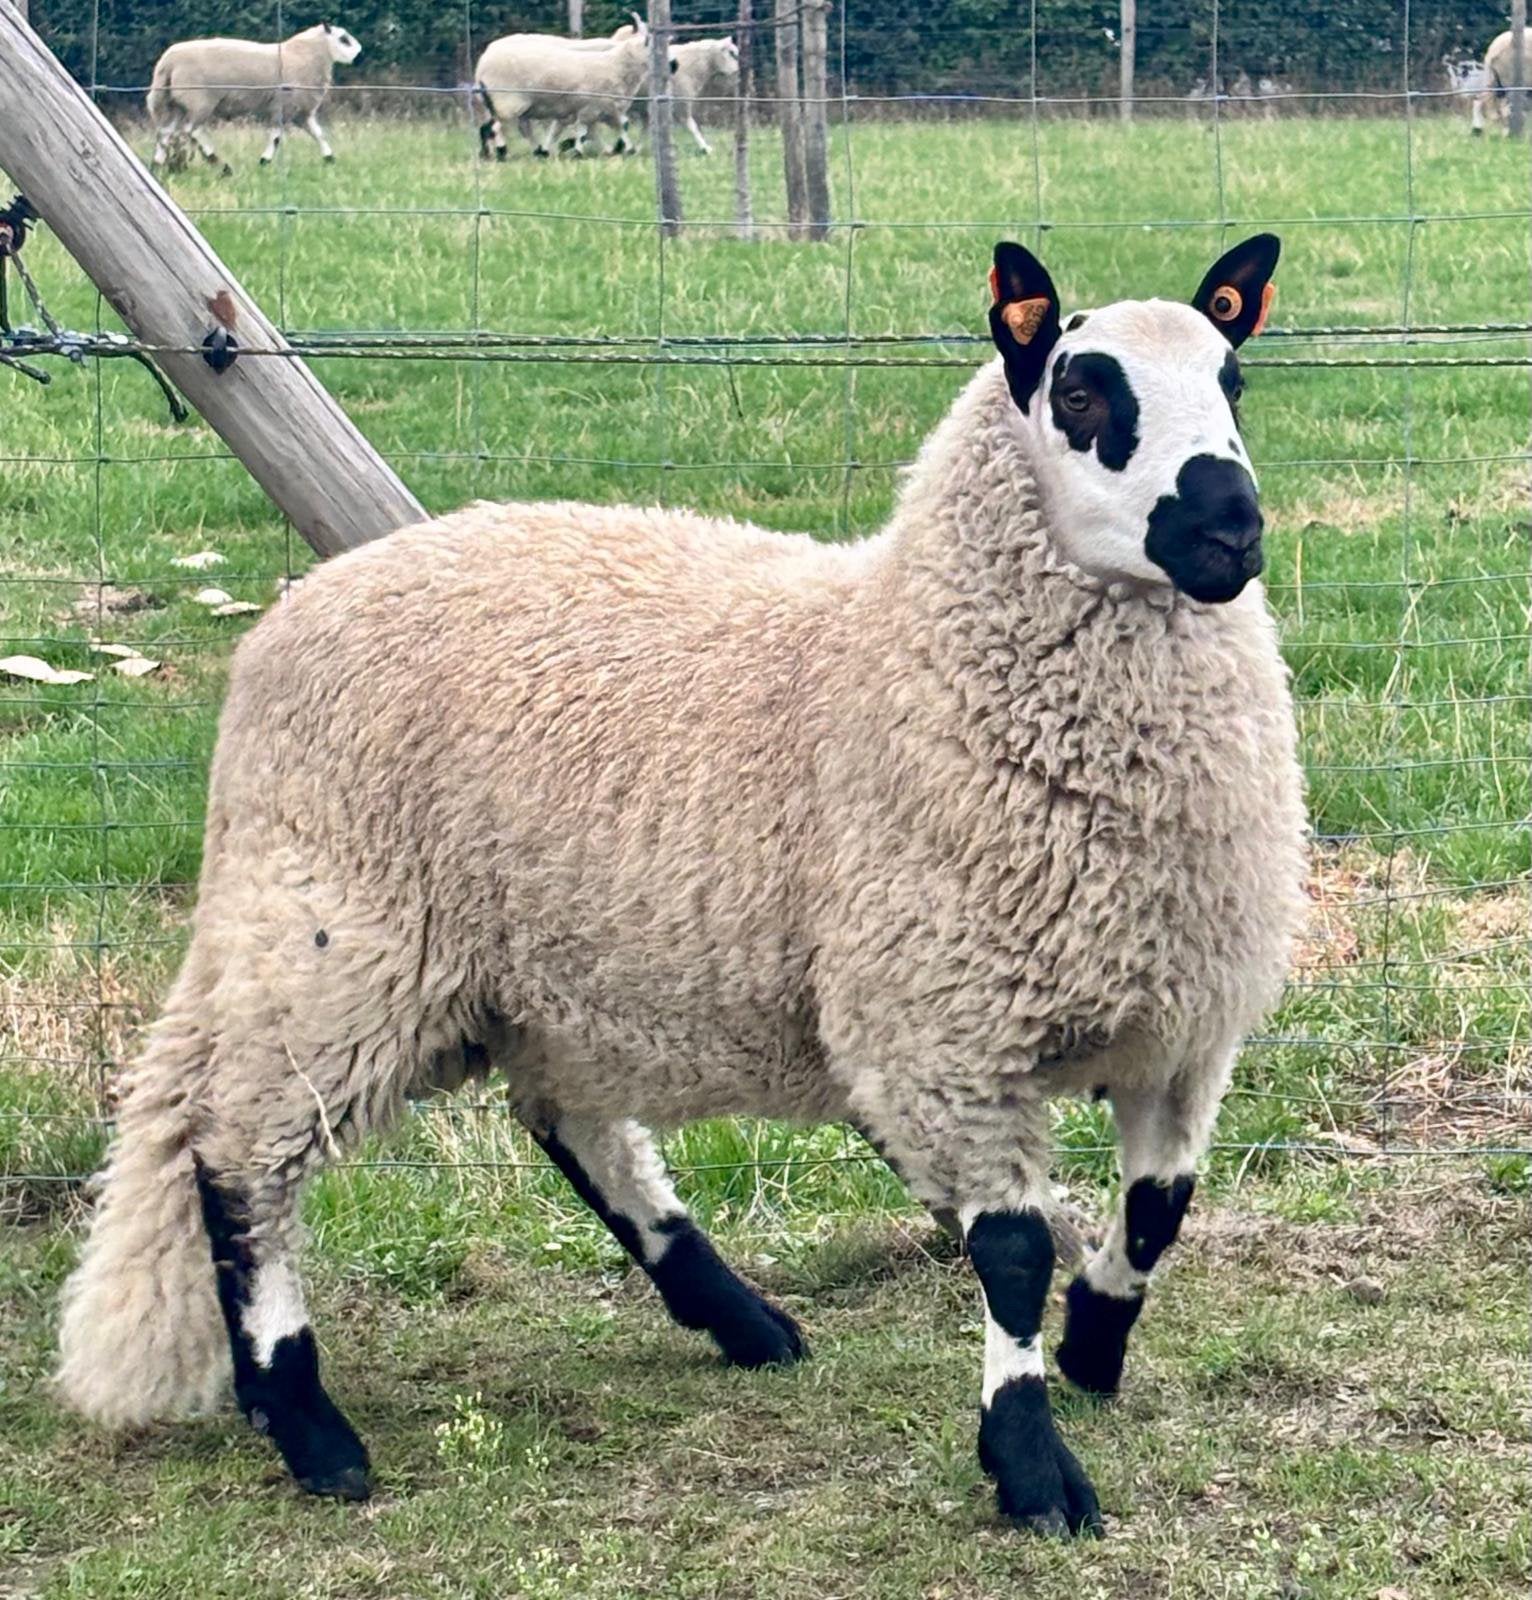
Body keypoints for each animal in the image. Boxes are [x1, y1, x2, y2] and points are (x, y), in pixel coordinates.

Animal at [57, 235, 1307, 1536]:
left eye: (1232, 379)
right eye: (1080, 394)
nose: (1230, 527)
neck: (894, 639)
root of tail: (287, 621)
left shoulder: (1180, 1025)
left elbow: (1158, 1209)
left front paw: (1091, 1349)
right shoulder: (941, 1031)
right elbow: (1011, 1254)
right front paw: (1028, 1460)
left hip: (530, 965)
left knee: (568, 1126)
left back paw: (736, 1315)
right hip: (337, 939)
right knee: (234, 1156)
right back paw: (305, 1420)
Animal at [147, 22, 362, 174]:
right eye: (343, 39)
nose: (359, 56)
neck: (307, 54)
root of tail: (167, 62)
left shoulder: (302, 111)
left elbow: (319, 134)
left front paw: (330, 159)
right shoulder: (284, 107)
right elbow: (276, 137)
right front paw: (264, 161)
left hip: (175, 103)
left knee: (165, 133)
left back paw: (156, 166)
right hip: (199, 101)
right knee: (192, 131)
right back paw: (221, 166)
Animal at [475, 18, 651, 161]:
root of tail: (483, 61)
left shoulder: (580, 108)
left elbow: (572, 129)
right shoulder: (596, 105)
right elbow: (605, 127)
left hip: (505, 103)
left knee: (508, 128)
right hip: (508, 100)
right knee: (496, 127)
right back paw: (501, 152)